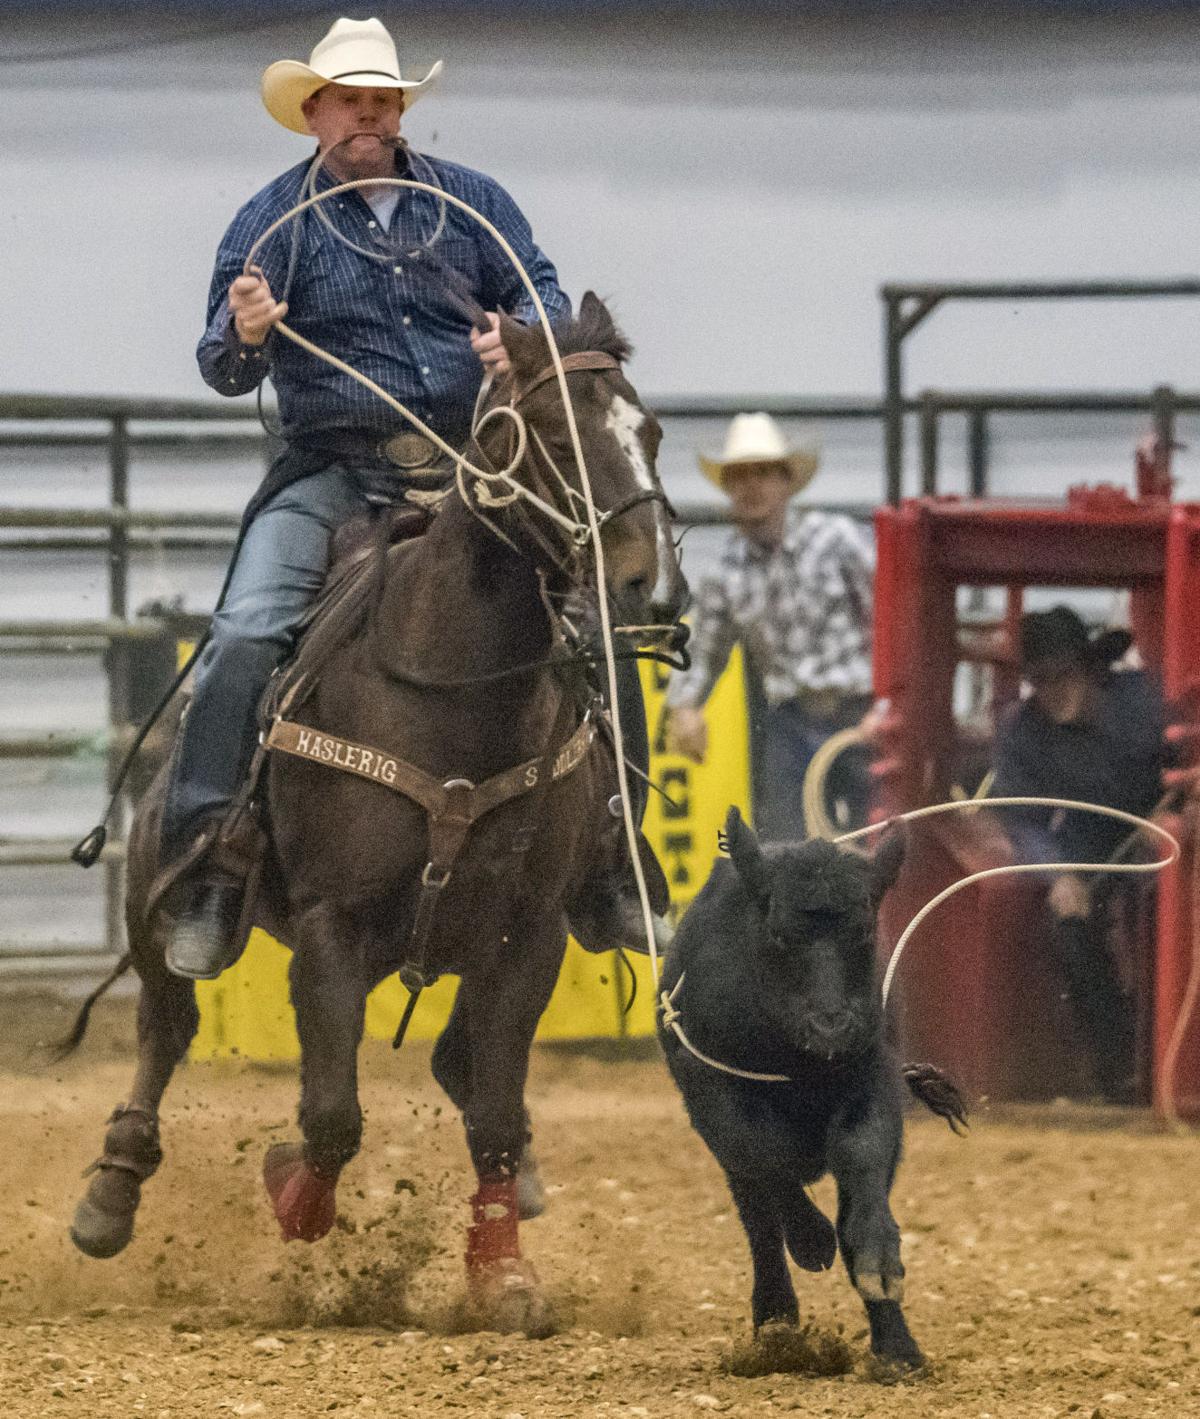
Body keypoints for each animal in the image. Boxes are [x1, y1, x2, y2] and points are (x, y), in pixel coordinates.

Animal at [68, 290, 686, 1328]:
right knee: (165, 1024)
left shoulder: (527, 933)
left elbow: (495, 1114)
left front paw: (503, 1275)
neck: (452, 689)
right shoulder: (332, 925)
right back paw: (110, 1194)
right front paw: (290, 1190)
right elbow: (328, 1116)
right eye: (556, 436)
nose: (650, 586)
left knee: (462, 1064)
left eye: (650, 431)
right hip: (158, 895)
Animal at [658, 817, 970, 1367]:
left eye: (864, 930)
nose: (831, 1027)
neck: (796, 1059)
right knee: (759, 1220)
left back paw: (894, 1345)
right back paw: (775, 1321)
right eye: (779, 934)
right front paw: (810, 1238)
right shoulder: (714, 1095)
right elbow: (763, 1154)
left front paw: (879, 1267)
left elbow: (861, 1154)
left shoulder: (872, 1077)